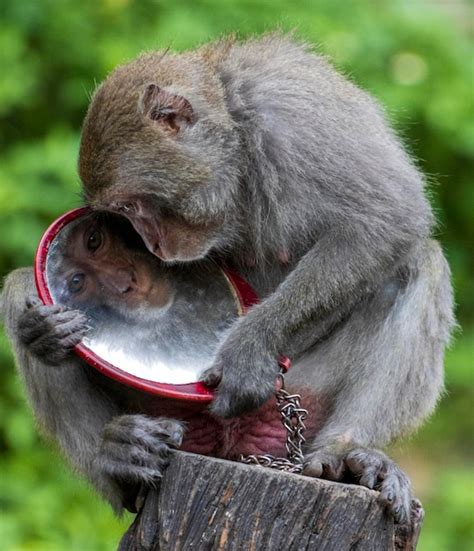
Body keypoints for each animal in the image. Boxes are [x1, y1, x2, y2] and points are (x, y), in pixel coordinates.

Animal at [2, 34, 456, 528]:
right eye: (119, 219)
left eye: (127, 208)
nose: (152, 247)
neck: (237, 141)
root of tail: (234, 448)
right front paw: (43, 332)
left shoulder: (297, 113)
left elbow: (387, 217)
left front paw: (248, 352)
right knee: (20, 287)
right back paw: (119, 457)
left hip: (302, 394)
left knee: (420, 263)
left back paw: (349, 453)